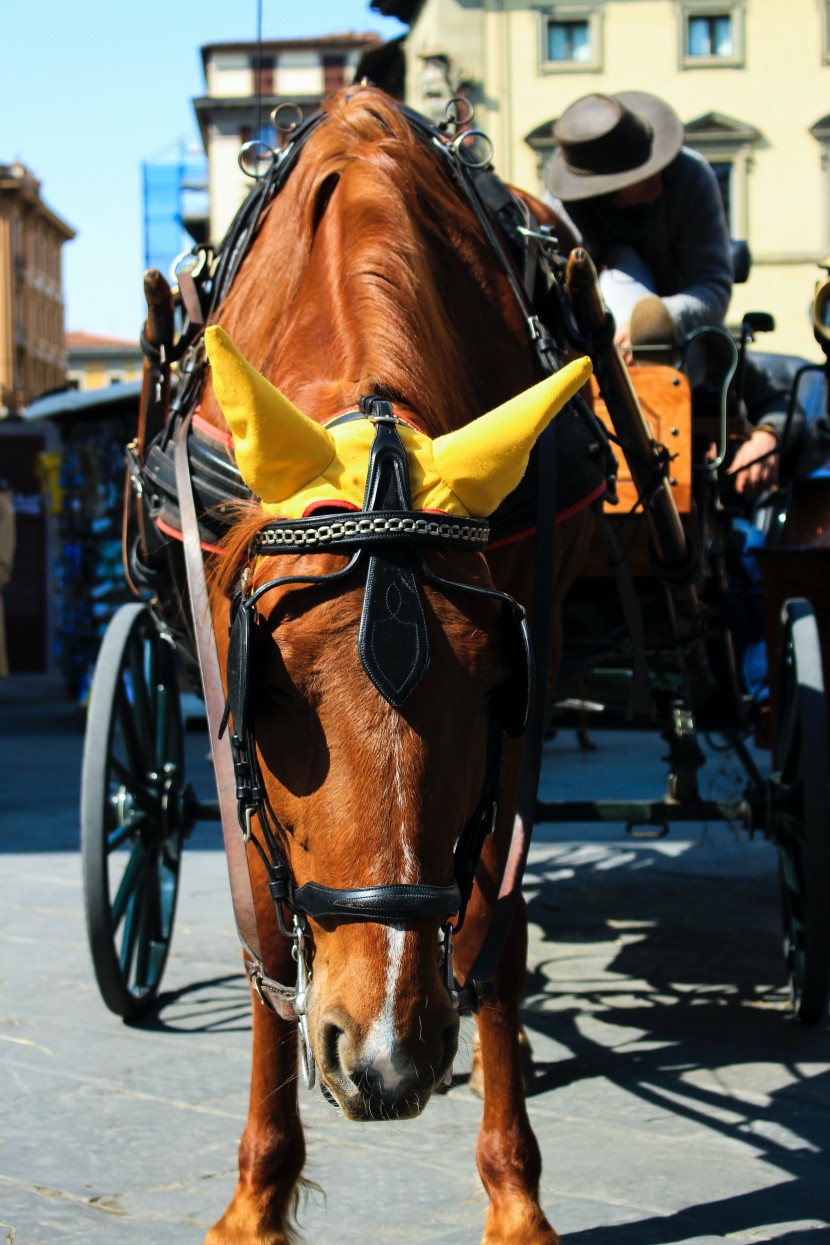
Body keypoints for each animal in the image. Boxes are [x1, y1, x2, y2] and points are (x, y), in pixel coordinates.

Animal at [197, 87, 594, 1245]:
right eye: (267, 690)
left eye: (498, 683)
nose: (383, 1059)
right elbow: (263, 927)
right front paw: (256, 1195)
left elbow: (499, 916)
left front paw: (515, 1194)